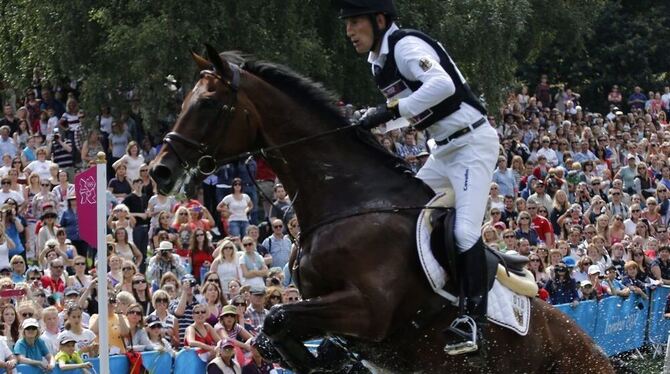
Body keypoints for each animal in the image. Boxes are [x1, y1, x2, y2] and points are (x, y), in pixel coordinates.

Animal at [154, 46, 620, 374]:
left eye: (208, 104)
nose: (162, 170)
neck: (351, 202)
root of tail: (591, 347)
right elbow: (273, 329)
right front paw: (328, 359)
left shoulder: (369, 311)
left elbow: (275, 319)